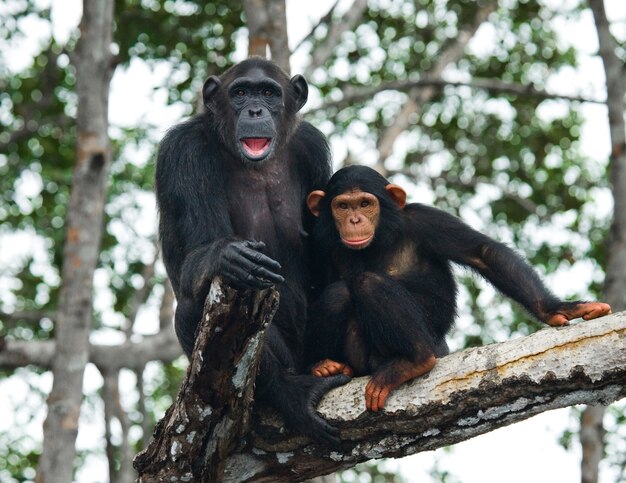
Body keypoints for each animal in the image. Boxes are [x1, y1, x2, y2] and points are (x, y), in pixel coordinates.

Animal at [154, 58, 348, 444]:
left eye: (269, 93)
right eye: (240, 92)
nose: (255, 110)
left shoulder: (312, 148)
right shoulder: (183, 153)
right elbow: (197, 252)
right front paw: (228, 257)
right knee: (192, 306)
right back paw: (291, 392)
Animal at [304, 166, 612, 412]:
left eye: (365, 203)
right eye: (343, 206)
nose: (355, 220)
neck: (378, 240)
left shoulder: (426, 220)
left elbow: (483, 253)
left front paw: (555, 308)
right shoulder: (322, 246)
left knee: (368, 283)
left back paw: (415, 360)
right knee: (337, 294)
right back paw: (329, 366)